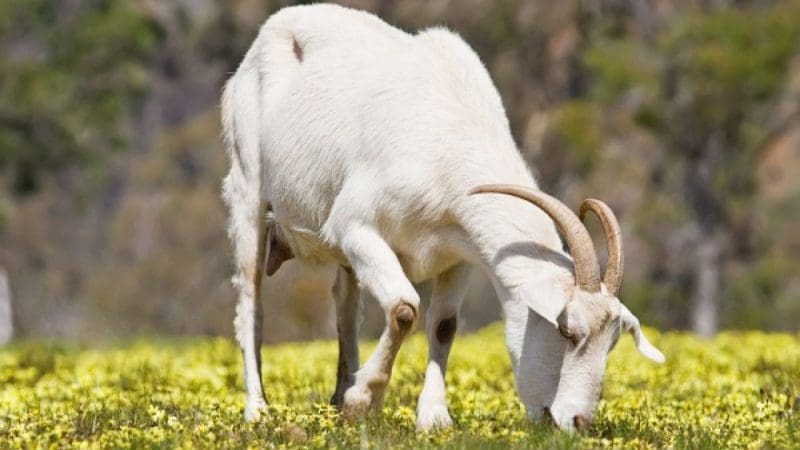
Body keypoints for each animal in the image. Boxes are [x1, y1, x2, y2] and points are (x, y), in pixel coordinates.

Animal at [221, 3, 664, 432]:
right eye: (569, 332)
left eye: (612, 343)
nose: (577, 421)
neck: (448, 143)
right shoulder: (355, 226)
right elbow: (404, 308)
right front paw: (364, 402)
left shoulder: (461, 253)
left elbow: (444, 324)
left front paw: (432, 418)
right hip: (248, 188)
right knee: (251, 305)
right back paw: (258, 409)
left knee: (346, 308)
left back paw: (338, 396)